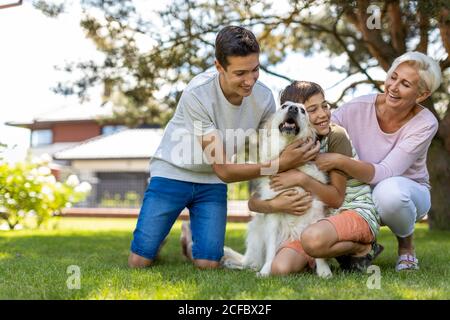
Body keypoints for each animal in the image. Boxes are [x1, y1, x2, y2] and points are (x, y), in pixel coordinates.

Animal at [223, 102, 332, 278]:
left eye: (303, 110)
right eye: (284, 106)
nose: (293, 109)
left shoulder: (315, 211)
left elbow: (318, 250)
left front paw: (324, 271)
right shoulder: (273, 216)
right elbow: (271, 251)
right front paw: (266, 271)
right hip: (256, 231)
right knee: (249, 262)